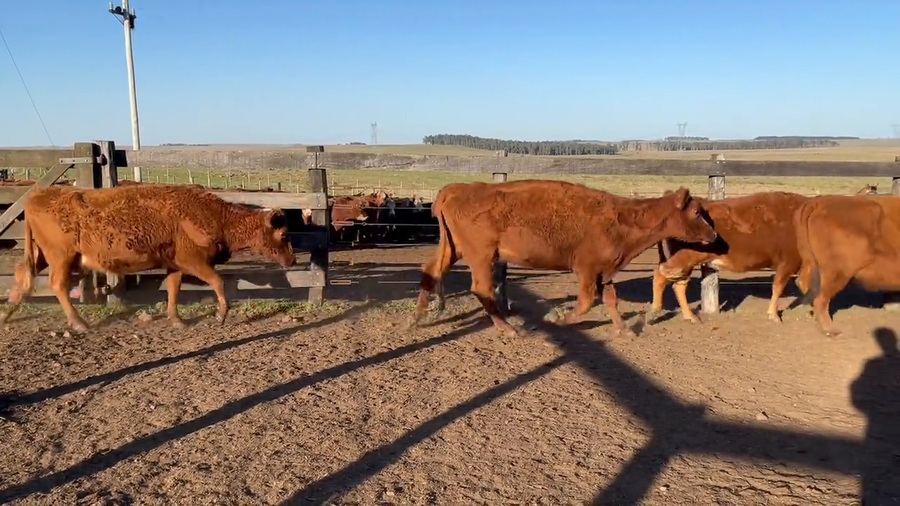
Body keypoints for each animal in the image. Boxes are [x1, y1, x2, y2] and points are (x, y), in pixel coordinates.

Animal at [0, 184, 295, 332]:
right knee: (58, 285)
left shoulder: (175, 265)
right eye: (282, 234)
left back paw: (6, 313)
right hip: (61, 257)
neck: (214, 215)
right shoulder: (194, 262)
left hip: (41, 254)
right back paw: (79, 323)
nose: (291, 260)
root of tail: (38, 196)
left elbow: (173, 289)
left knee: (23, 276)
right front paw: (221, 315)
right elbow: (218, 282)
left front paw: (175, 319)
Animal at [410, 180, 718, 337]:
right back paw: (510, 328)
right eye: (696, 212)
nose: (714, 234)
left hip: (453, 249)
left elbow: (611, 300)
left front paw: (625, 330)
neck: (624, 217)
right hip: (481, 255)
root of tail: (456, 189)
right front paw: (554, 321)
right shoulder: (587, 270)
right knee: (480, 288)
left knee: (431, 271)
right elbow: (585, 302)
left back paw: (417, 319)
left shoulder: (605, 272)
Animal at [649, 191, 810, 324]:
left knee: (679, 285)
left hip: (686, 264)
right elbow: (778, 287)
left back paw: (691, 316)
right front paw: (774, 315)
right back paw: (654, 312)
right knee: (660, 276)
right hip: (683, 259)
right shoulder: (788, 263)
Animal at [793, 194, 900, 337]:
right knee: (820, 299)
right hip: (836, 273)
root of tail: (819, 200)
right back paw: (831, 330)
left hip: (811, 262)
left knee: (804, 284)